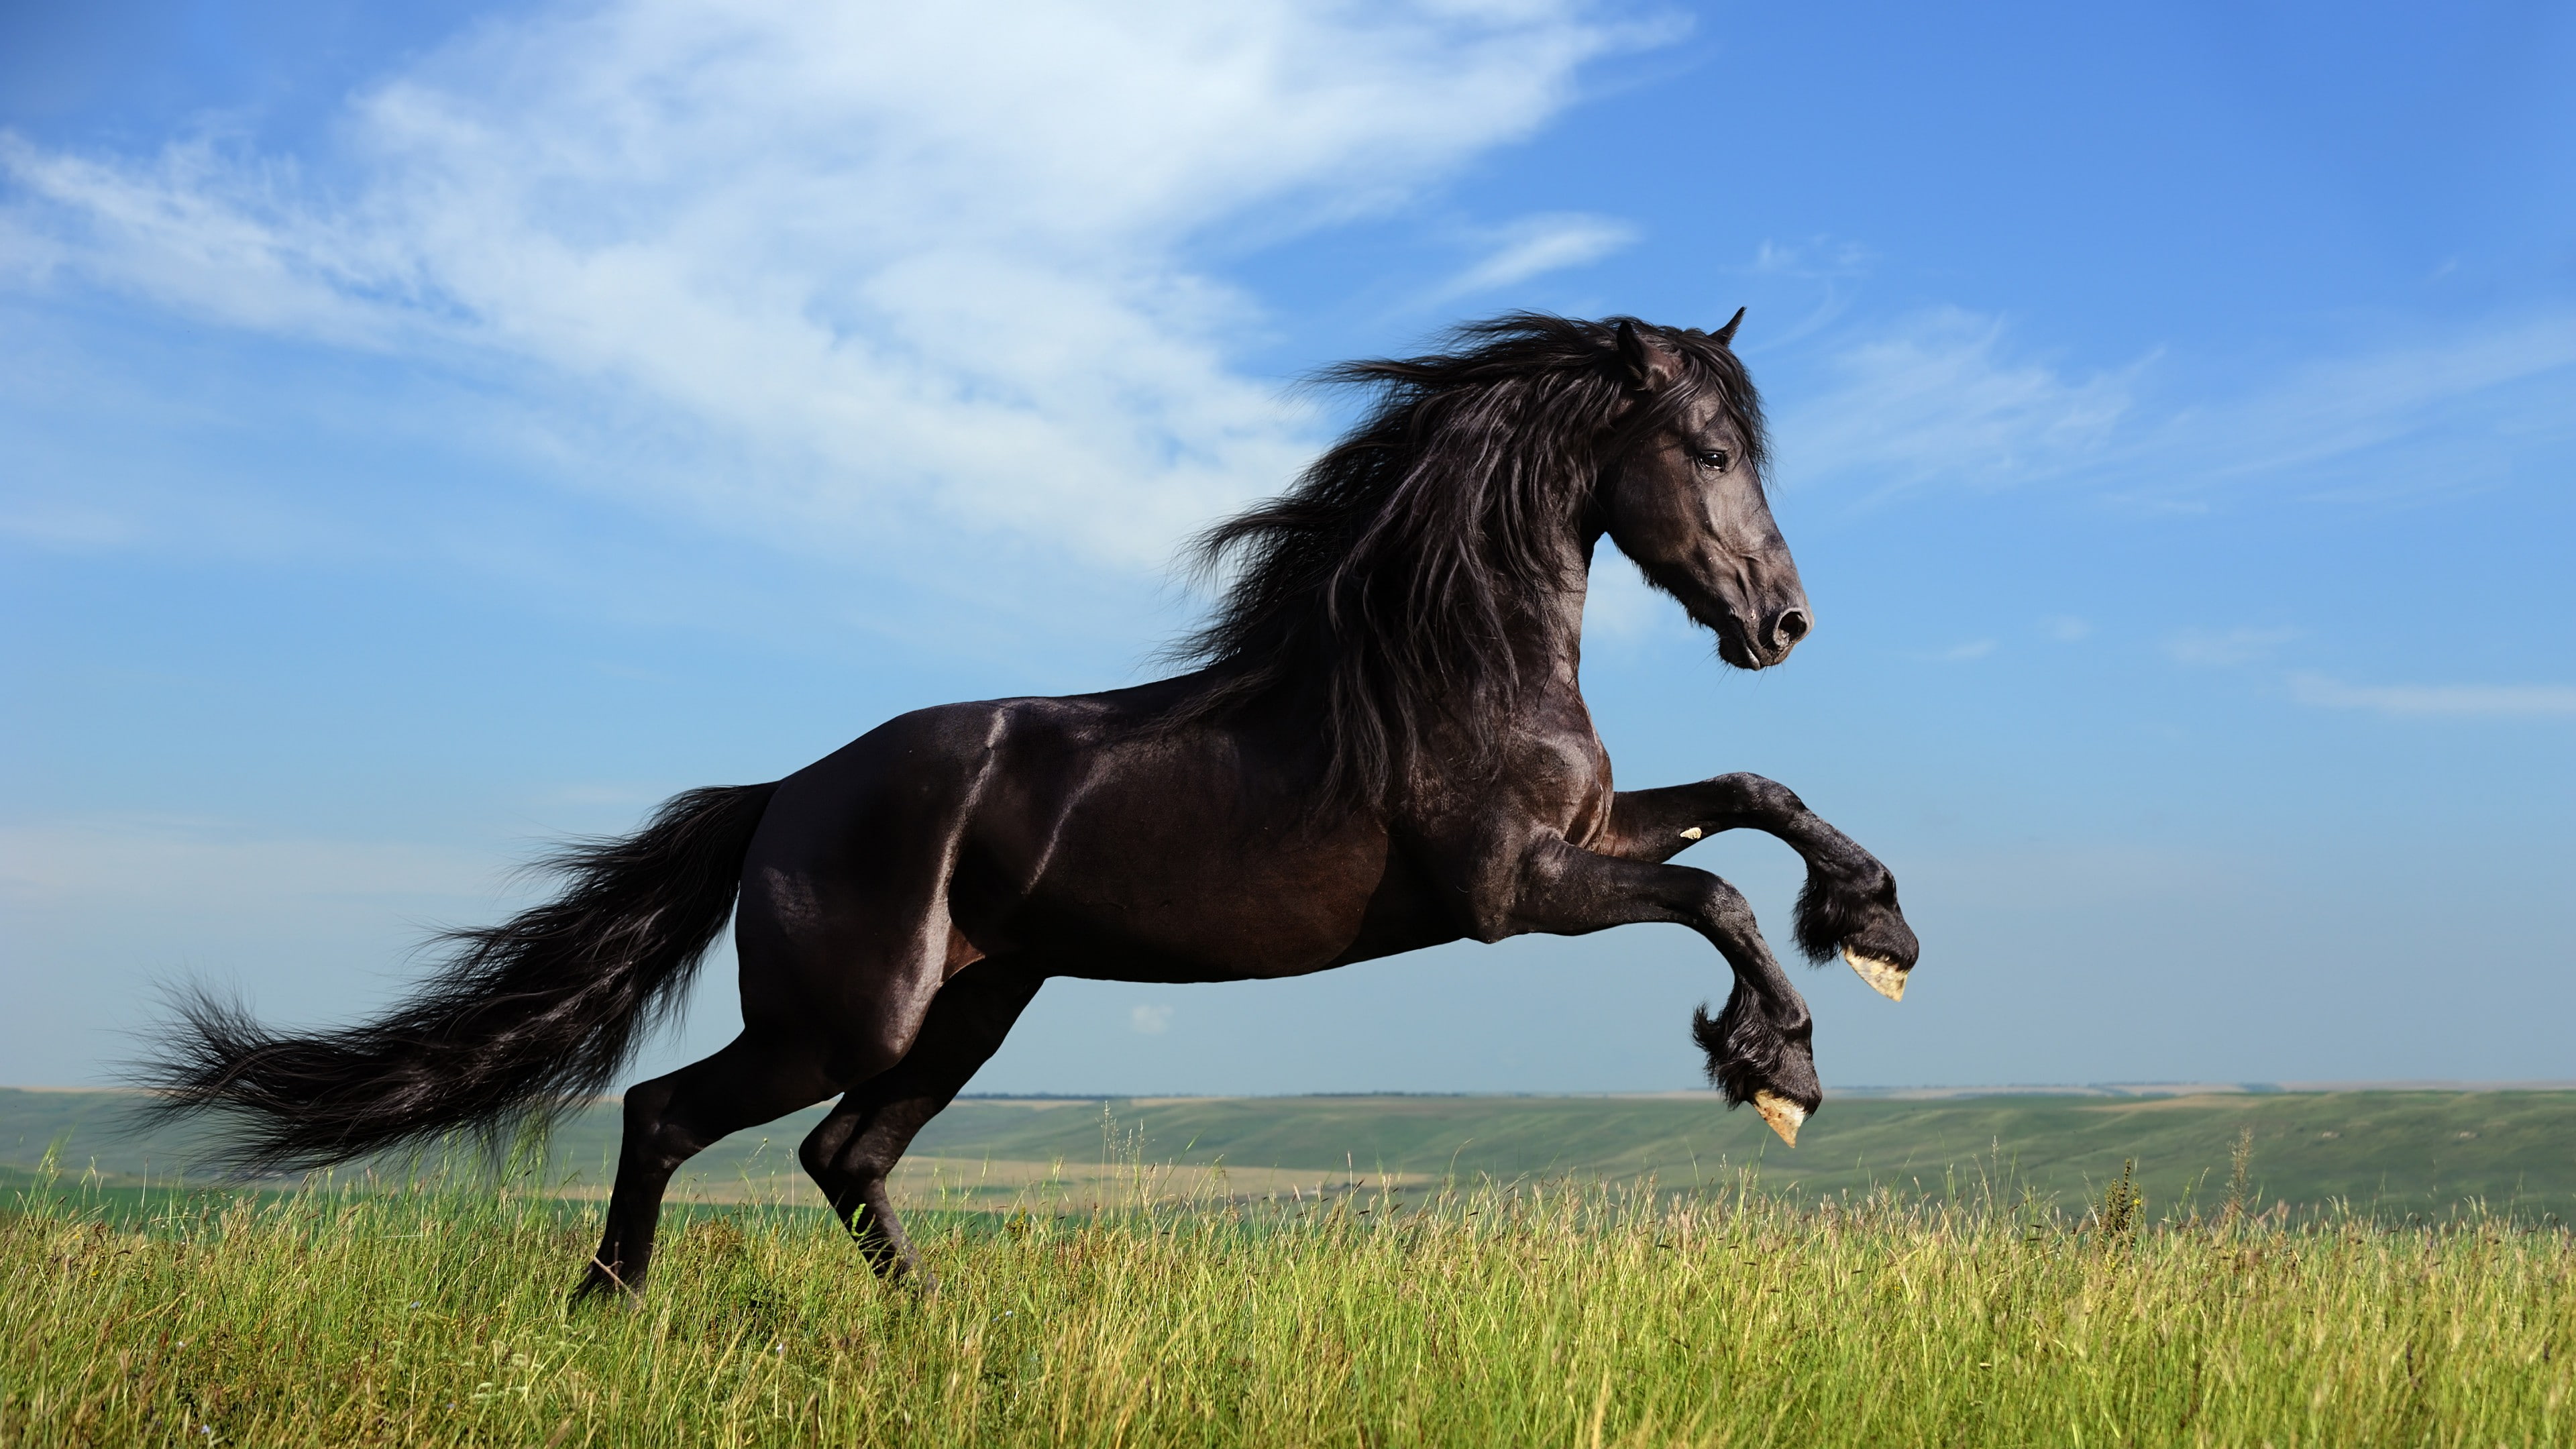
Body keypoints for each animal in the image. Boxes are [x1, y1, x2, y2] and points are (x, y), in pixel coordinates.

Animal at [140, 312, 1922, 1298]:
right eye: (1705, 449)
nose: (1781, 623)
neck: (1446, 660)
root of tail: (780, 797)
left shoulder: (1587, 837)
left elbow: (1753, 797)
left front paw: (1877, 928)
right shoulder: (1511, 890)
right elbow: (1715, 894)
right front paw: (1777, 1066)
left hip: (975, 1006)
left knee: (845, 1156)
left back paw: (932, 1329)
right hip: (846, 1013)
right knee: (672, 1116)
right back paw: (609, 1310)